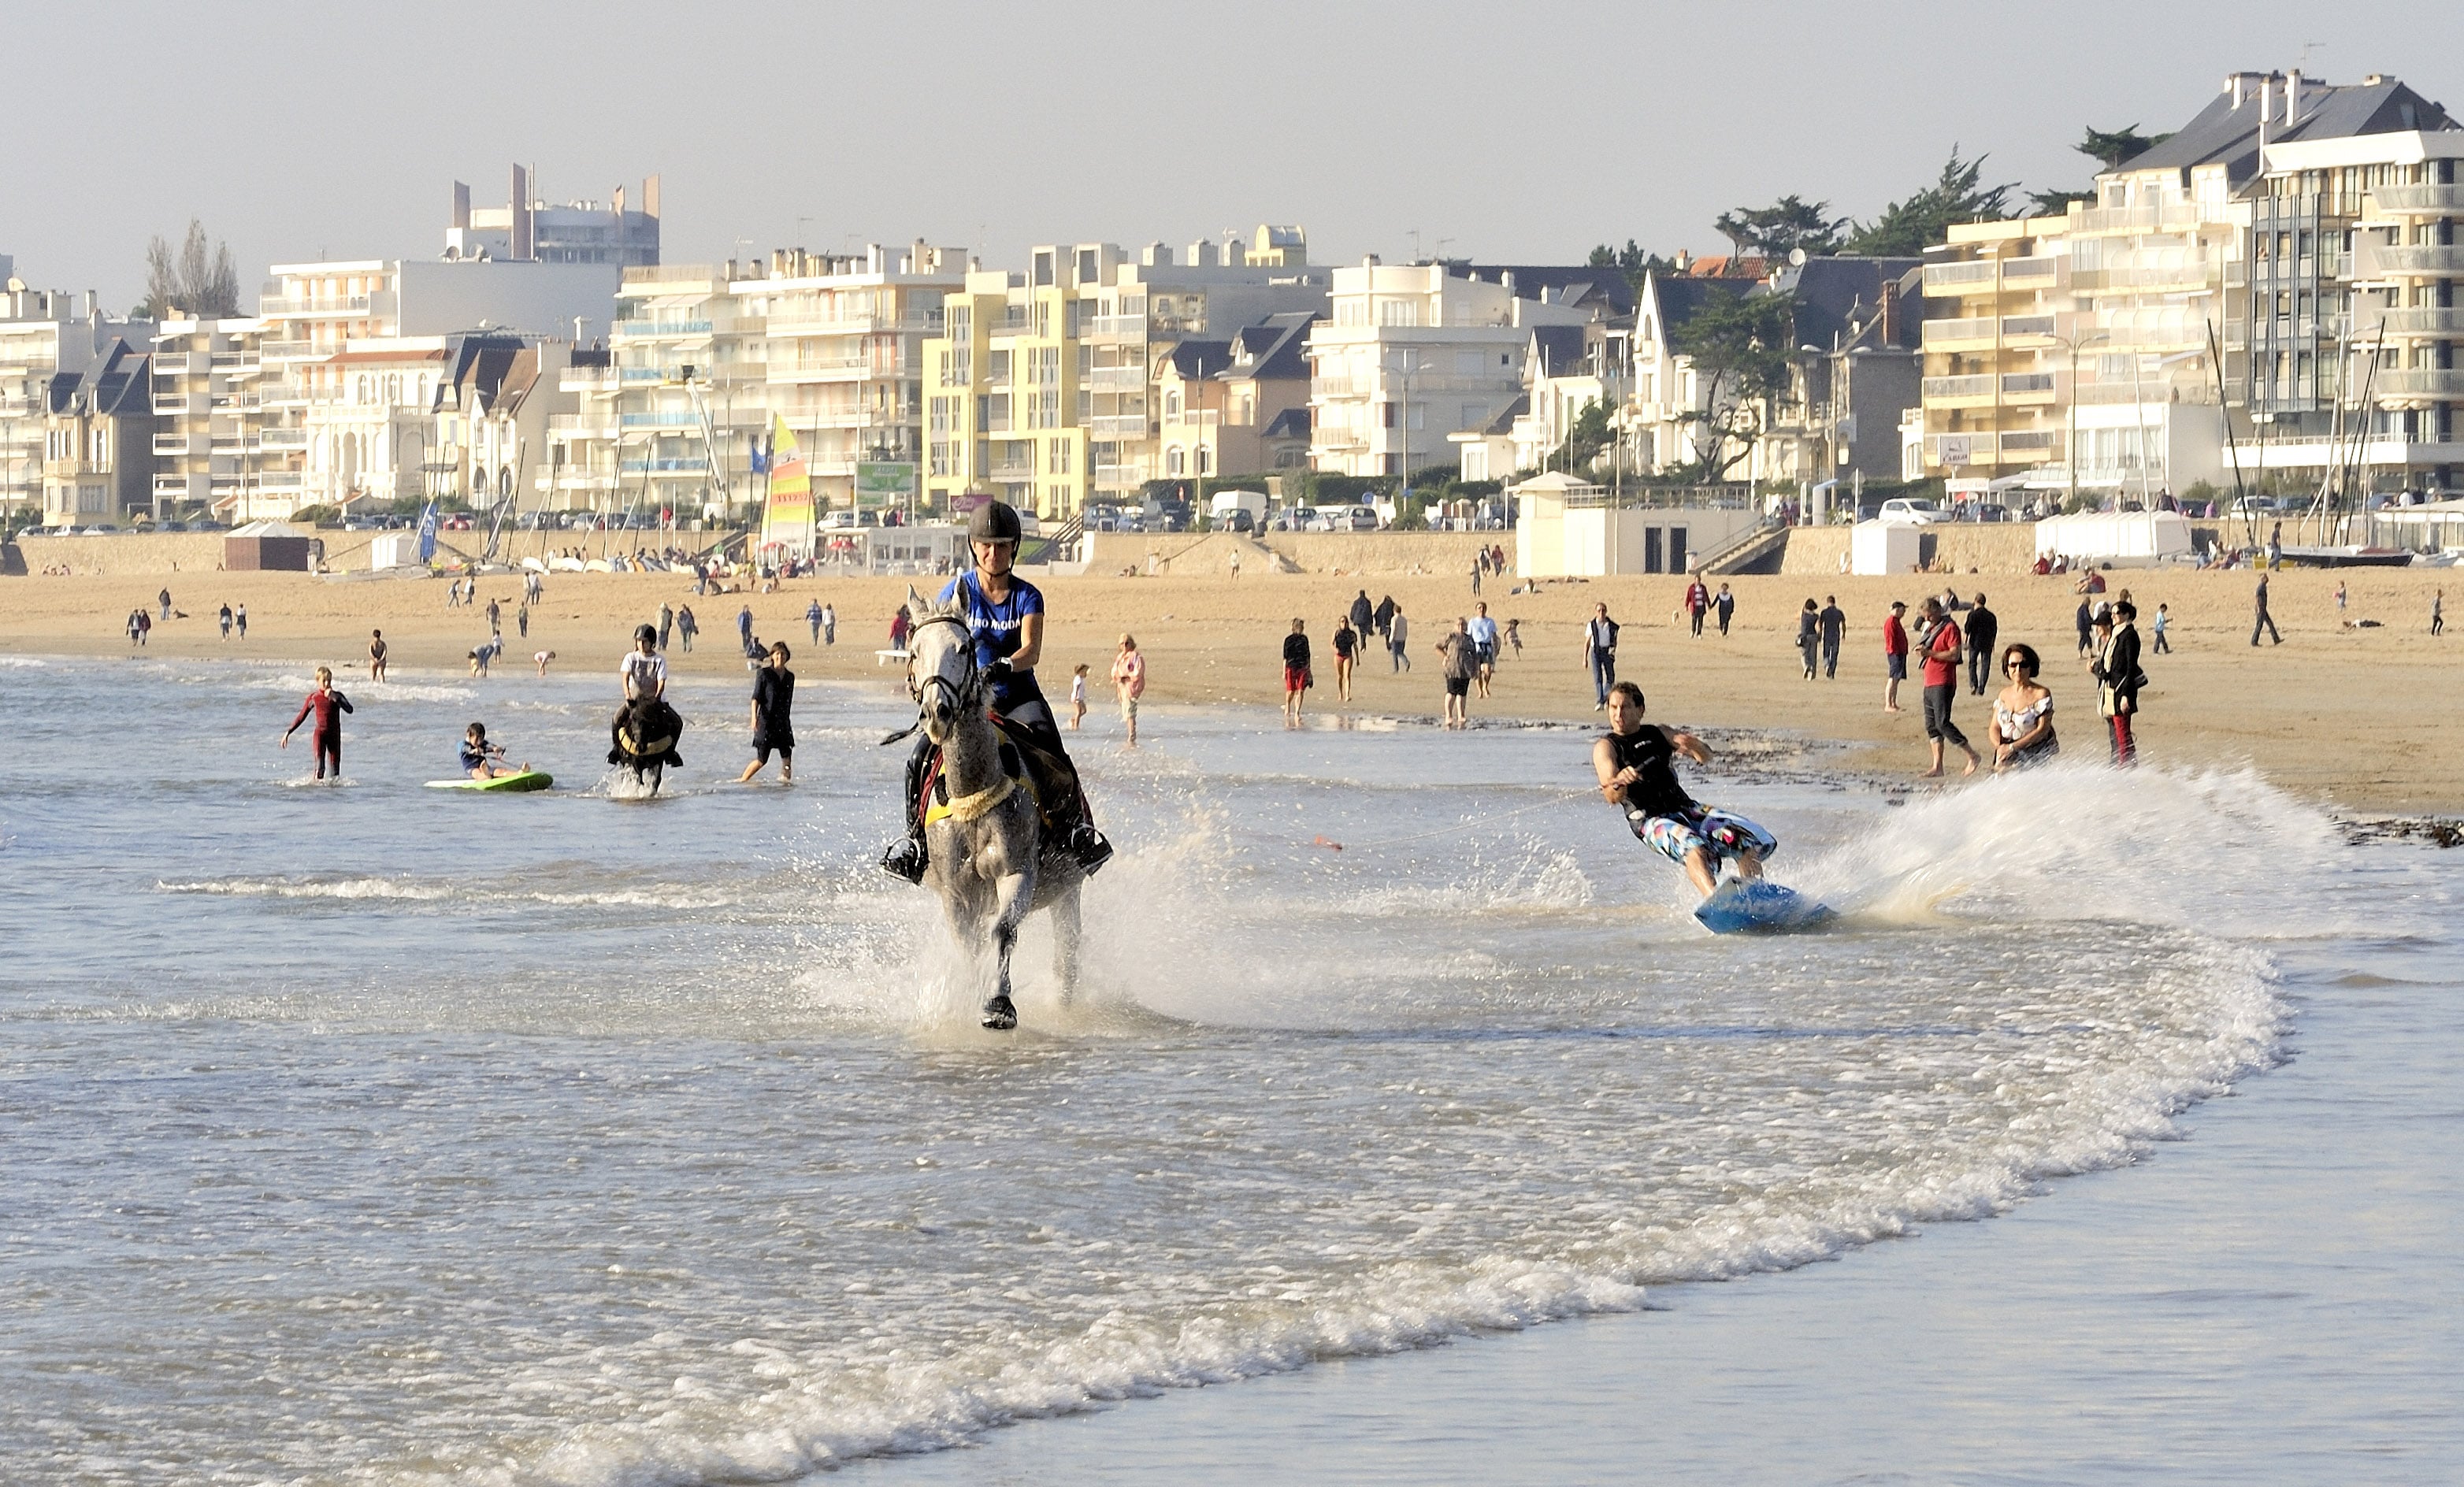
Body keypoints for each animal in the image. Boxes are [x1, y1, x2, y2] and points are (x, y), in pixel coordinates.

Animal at [892, 585, 1074, 1029]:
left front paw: (999, 1004)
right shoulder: (958, 895)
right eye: (915, 650)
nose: (937, 713)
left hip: (1068, 888)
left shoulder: (1017, 873)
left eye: (964, 647)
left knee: (1067, 954)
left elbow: (1004, 932)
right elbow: (969, 947)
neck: (973, 789)